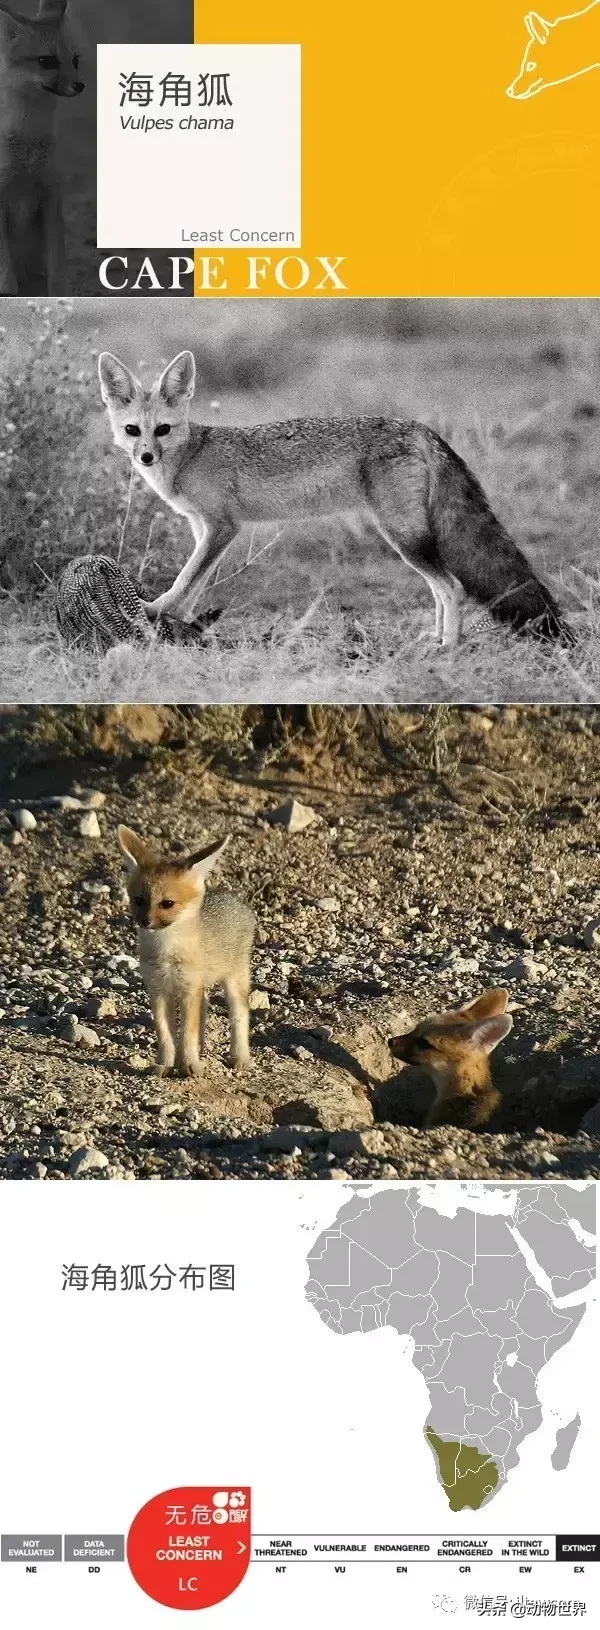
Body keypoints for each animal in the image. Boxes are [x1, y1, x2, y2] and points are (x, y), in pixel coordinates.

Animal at [0, 1, 84, 293]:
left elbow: (57, 267)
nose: (80, 85)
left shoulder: (50, 194)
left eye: (75, 60)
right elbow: (6, 275)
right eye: (46, 61)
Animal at [98, 347, 567, 645]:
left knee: (452, 586)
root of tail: (420, 428)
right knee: (441, 588)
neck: (190, 454)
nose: (145, 457)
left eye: (162, 430)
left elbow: (185, 578)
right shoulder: (205, 529)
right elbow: (197, 582)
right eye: (133, 430)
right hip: (411, 539)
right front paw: (178, 620)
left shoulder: (223, 527)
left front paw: (157, 610)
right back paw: (435, 637)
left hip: (403, 538)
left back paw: (447, 647)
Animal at [118, 821, 255, 1075]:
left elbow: (186, 1034)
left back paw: (240, 1057)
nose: (145, 922)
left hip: (233, 982)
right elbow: (165, 1034)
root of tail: (235, 899)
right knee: (205, 1009)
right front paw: (165, 1064)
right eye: (139, 900)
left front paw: (190, 1064)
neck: (166, 952)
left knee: (239, 1016)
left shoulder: (189, 989)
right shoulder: (159, 990)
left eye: (167, 903)